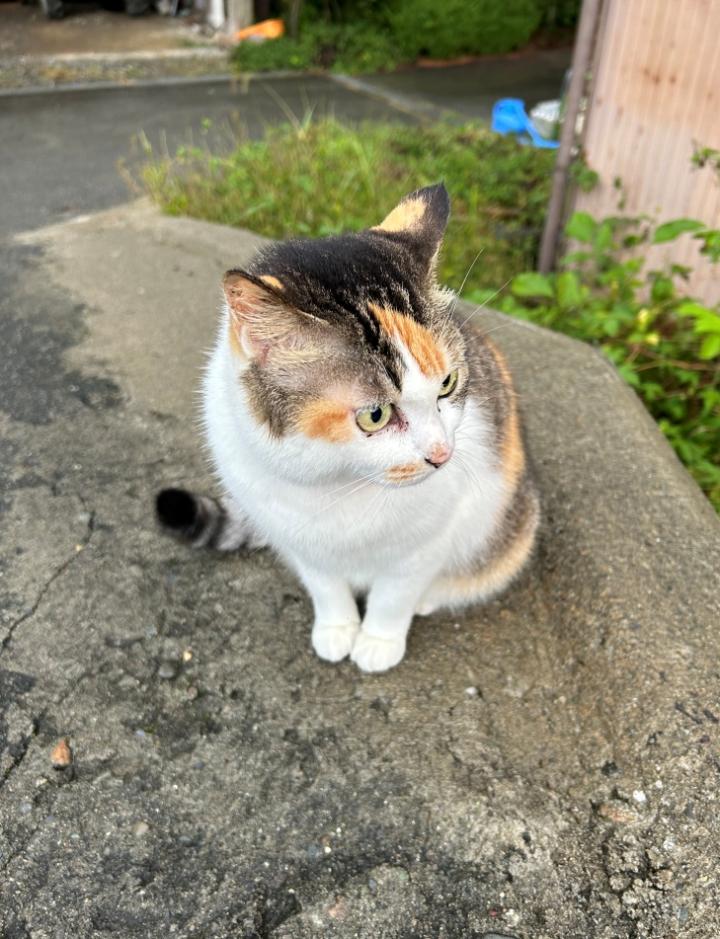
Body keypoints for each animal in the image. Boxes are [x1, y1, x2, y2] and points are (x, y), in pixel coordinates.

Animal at [156, 183, 539, 673]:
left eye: (448, 383)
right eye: (374, 415)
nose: (442, 455)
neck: (335, 484)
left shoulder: (428, 541)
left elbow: (394, 595)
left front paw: (377, 642)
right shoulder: (297, 540)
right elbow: (324, 586)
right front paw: (337, 629)